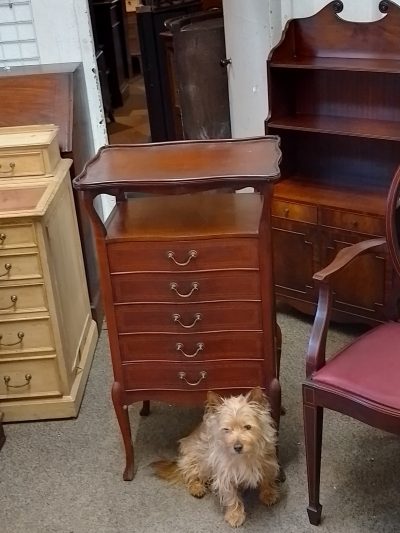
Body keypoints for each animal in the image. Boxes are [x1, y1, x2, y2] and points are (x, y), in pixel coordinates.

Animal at [152, 384, 280, 524]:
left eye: (247, 427)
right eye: (226, 429)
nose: (237, 447)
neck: (244, 456)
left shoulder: (267, 463)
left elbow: (267, 479)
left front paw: (268, 494)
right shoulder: (225, 474)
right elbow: (231, 496)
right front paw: (235, 514)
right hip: (195, 460)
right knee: (189, 474)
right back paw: (196, 487)